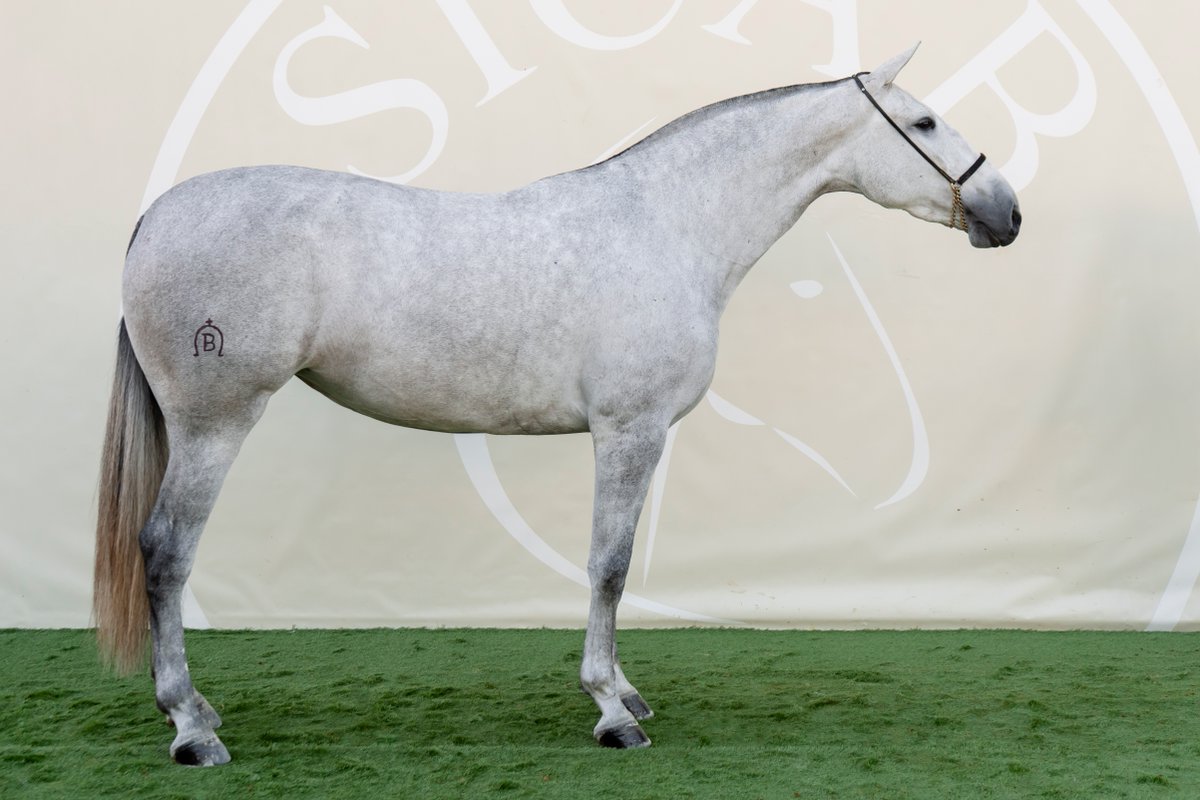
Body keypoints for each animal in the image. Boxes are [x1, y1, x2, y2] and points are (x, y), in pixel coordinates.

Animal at [93, 44, 1020, 765]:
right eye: (925, 124)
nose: (1006, 211)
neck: (668, 227)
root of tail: (154, 217)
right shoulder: (629, 431)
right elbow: (609, 564)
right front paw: (611, 711)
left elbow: (617, 562)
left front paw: (626, 694)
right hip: (214, 424)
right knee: (166, 551)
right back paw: (191, 728)